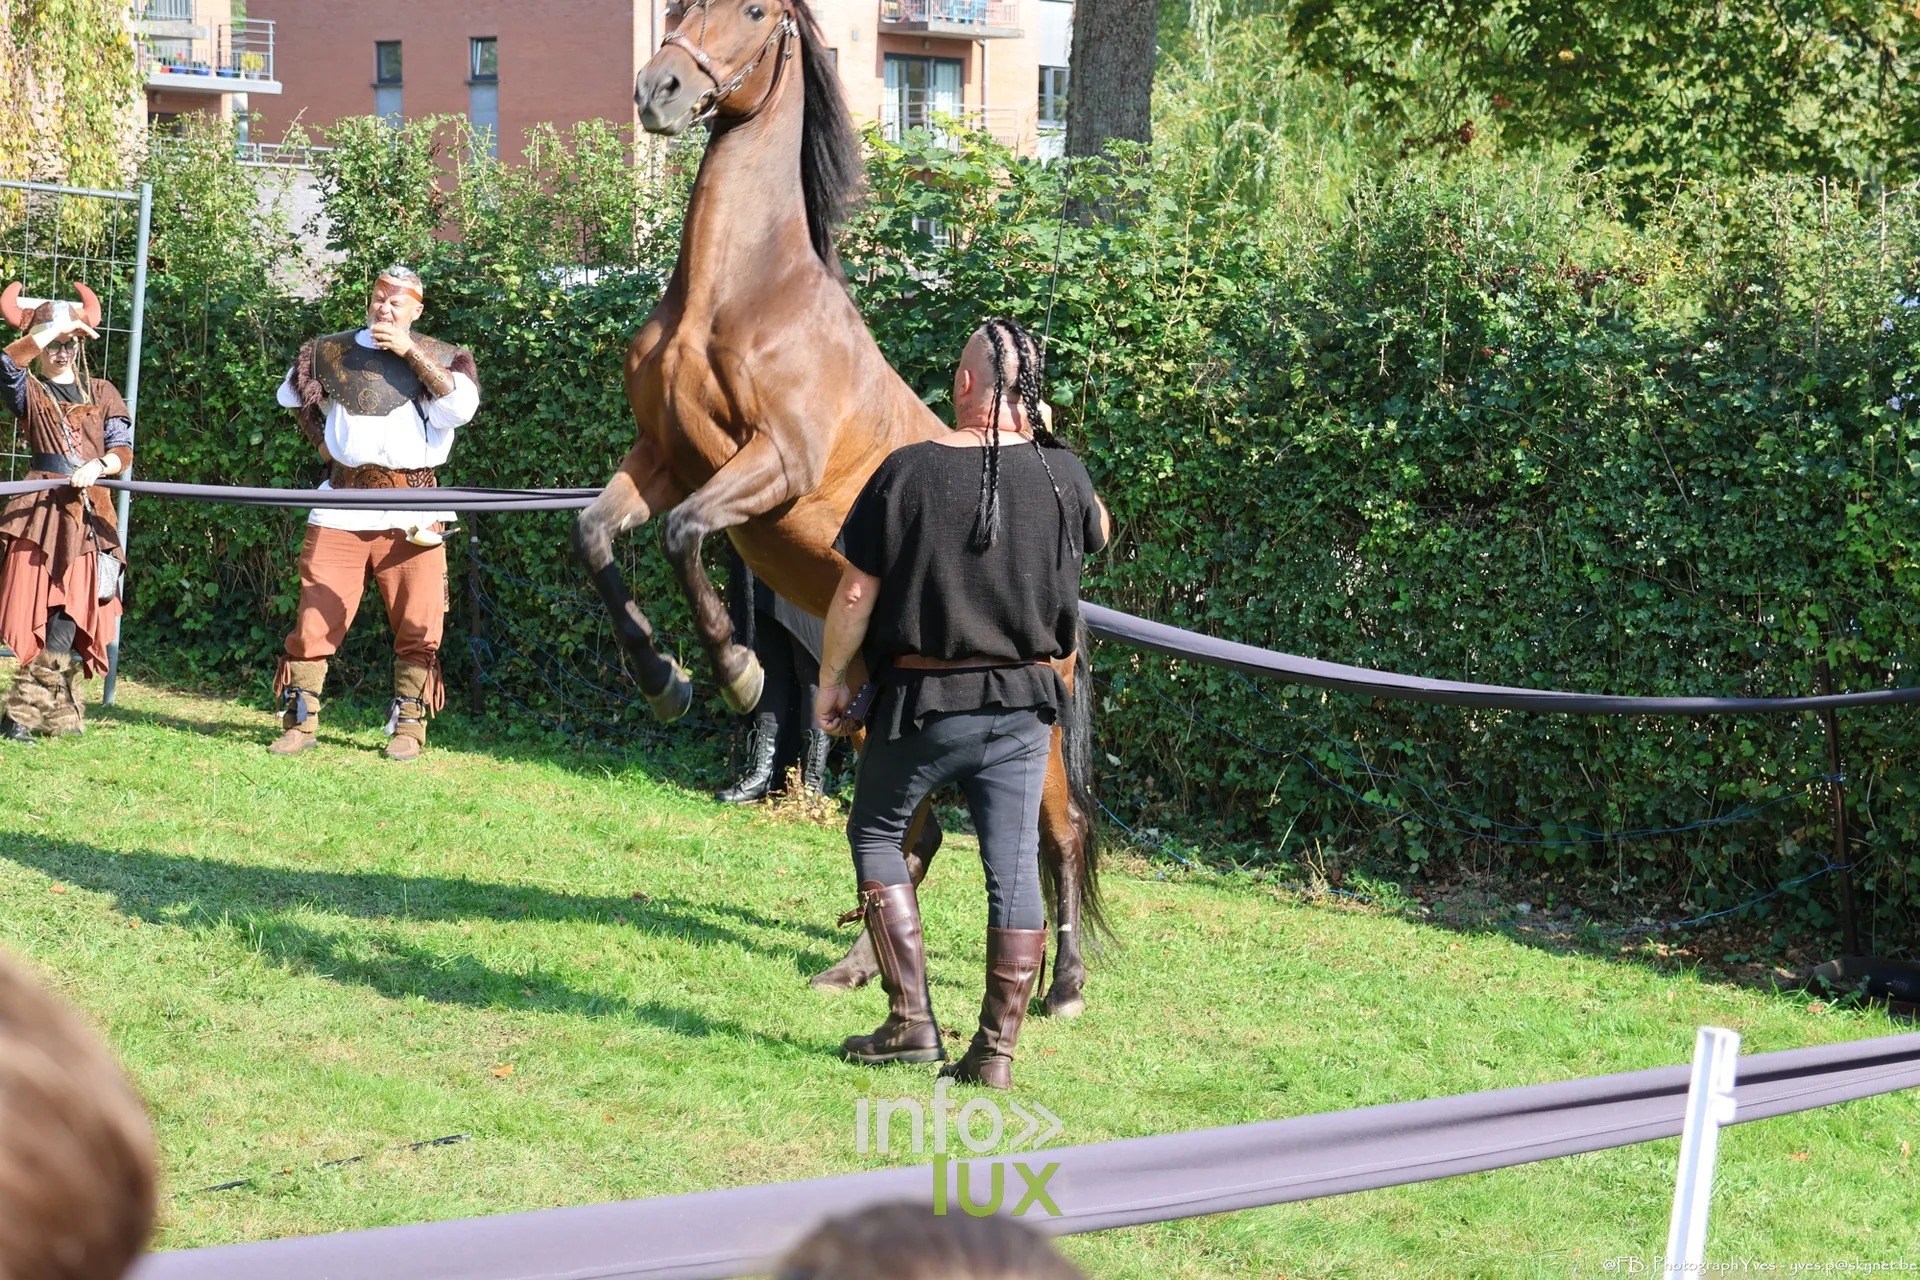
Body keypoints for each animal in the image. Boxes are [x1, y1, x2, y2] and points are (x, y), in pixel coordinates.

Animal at [570, 0, 1102, 1017]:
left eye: (755, 11)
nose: (659, 90)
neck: (737, 298)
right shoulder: (661, 456)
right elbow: (597, 537)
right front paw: (664, 678)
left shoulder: (770, 464)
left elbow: (686, 536)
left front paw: (734, 670)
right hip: (889, 696)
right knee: (918, 832)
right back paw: (859, 966)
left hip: (1037, 727)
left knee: (1059, 836)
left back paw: (1063, 988)